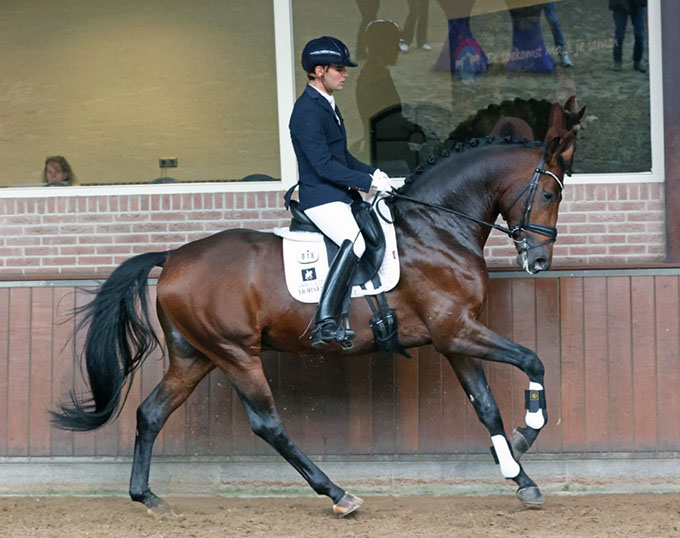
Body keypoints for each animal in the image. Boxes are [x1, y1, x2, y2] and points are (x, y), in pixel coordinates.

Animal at [52, 97, 584, 518]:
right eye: (549, 192)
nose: (538, 261)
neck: (435, 227)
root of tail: (174, 256)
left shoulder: (453, 336)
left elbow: (486, 406)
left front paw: (521, 477)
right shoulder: (456, 330)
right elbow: (533, 359)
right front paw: (528, 434)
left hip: (195, 355)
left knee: (150, 413)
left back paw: (146, 496)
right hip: (236, 353)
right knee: (268, 425)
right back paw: (339, 494)